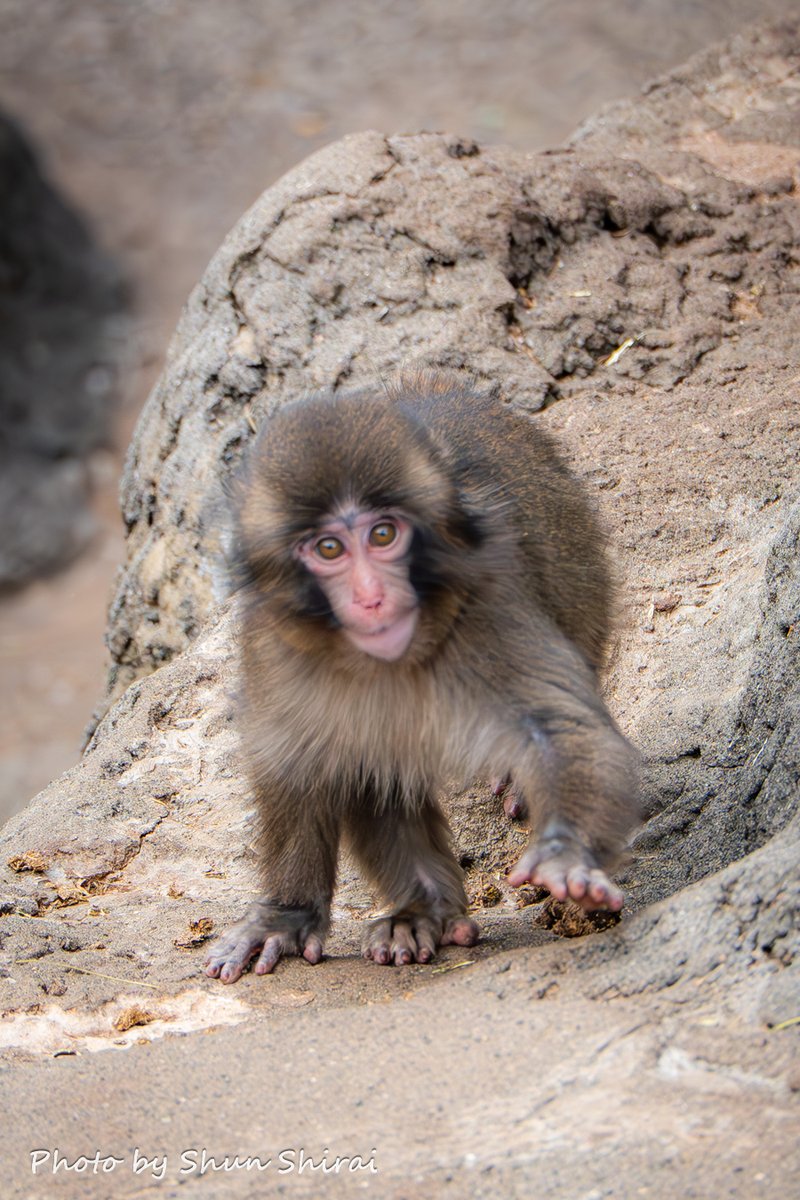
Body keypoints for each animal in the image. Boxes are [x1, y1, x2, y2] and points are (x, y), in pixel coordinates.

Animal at [204, 370, 639, 983]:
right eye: (329, 548)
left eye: (384, 535)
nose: (371, 596)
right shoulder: (274, 646)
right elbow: (299, 761)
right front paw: (286, 916)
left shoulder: (486, 601)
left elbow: (557, 728)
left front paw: (565, 854)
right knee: (373, 760)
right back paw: (423, 910)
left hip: (581, 575)